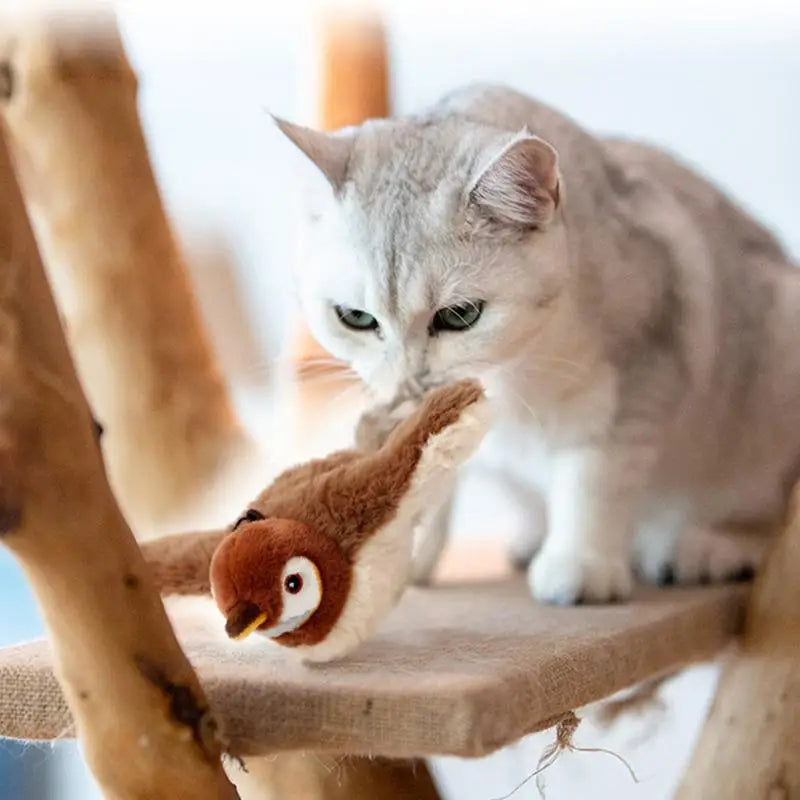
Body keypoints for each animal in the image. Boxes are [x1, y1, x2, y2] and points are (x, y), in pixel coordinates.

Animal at [272, 84, 796, 604]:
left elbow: (594, 478)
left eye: (459, 316)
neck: (508, 372)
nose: (409, 379)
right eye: (356, 318)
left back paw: (703, 547)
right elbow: (428, 478)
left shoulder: (640, 376)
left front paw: (581, 565)